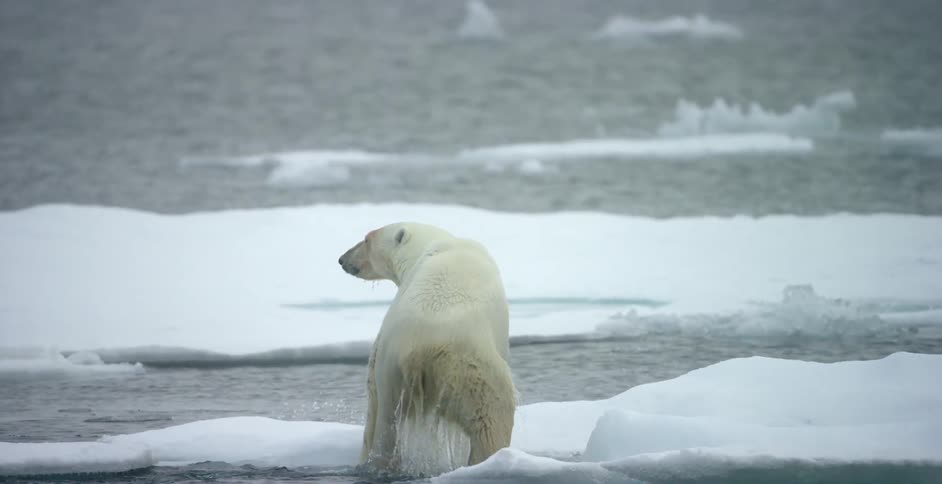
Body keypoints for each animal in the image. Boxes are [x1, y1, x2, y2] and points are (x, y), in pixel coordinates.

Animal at [338, 222, 515, 476]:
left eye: (366, 239)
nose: (343, 259)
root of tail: (419, 350)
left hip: (392, 373)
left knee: (385, 425)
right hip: (474, 372)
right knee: (493, 421)